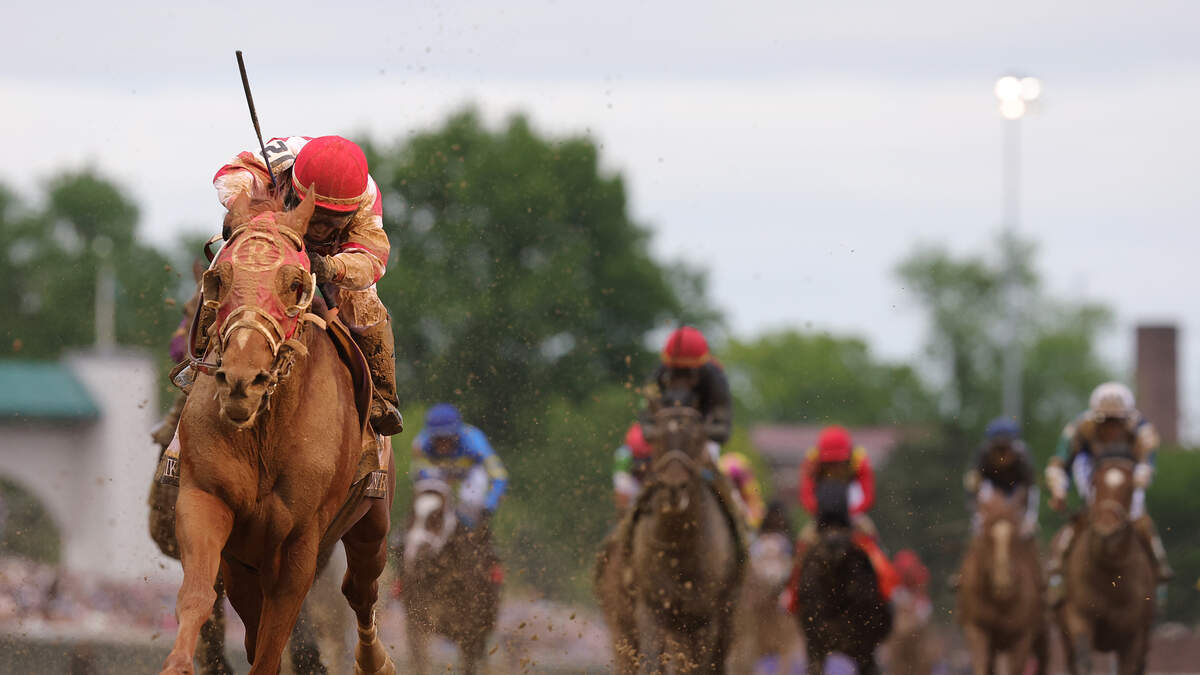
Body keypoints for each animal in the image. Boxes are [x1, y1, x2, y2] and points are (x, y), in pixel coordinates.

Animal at [159, 189, 398, 672]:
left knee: (360, 591)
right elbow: (198, 596)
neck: (265, 434)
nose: (241, 380)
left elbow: (273, 645)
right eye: (219, 279)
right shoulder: (208, 503)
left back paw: (374, 660)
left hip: (372, 525)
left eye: (295, 284)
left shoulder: (299, 544)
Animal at [592, 401, 739, 667]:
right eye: (658, 439)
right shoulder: (651, 607)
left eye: (696, 438)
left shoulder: (707, 616)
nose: (673, 487)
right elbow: (649, 661)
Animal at [955, 485, 1051, 672]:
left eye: (1016, 538)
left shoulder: (1022, 635)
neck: (999, 602)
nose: (1003, 580)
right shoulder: (976, 629)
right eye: (987, 538)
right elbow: (981, 666)